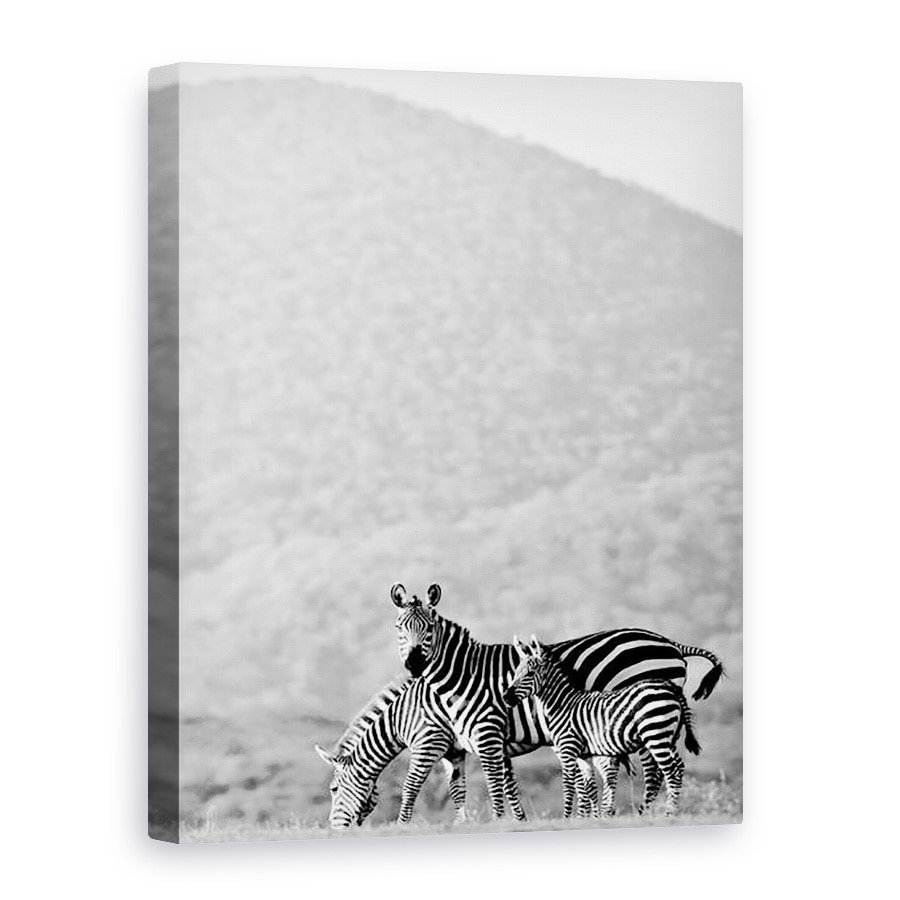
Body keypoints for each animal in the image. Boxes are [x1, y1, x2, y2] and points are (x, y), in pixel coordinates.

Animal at [503, 635, 701, 817]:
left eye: (529, 674)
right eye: (515, 673)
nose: (505, 697)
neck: (563, 704)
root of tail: (670, 687)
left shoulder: (568, 748)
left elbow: (568, 786)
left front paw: (567, 818)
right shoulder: (584, 754)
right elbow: (589, 787)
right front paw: (592, 818)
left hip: (655, 735)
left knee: (670, 771)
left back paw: (669, 813)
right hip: (667, 736)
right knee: (677, 768)